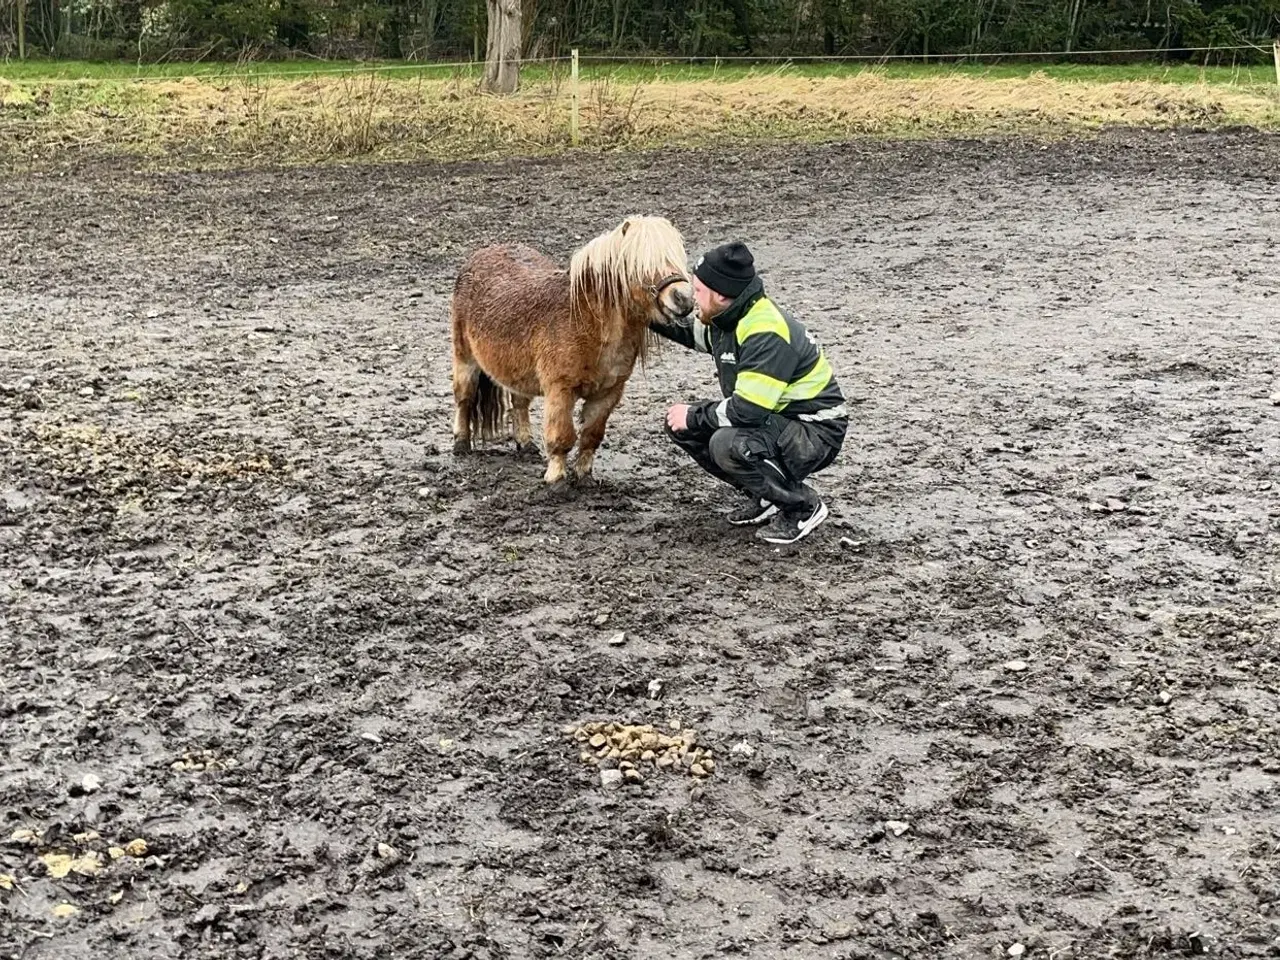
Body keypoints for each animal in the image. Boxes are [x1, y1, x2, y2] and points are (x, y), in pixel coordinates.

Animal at [450, 220, 691, 488]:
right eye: (639, 262)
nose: (683, 298)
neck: (587, 320)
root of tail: (482, 254)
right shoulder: (560, 390)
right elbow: (562, 437)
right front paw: (556, 480)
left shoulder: (608, 393)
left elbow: (591, 436)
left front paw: (584, 477)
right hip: (465, 359)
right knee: (465, 399)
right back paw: (461, 444)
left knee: (519, 403)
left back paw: (526, 444)